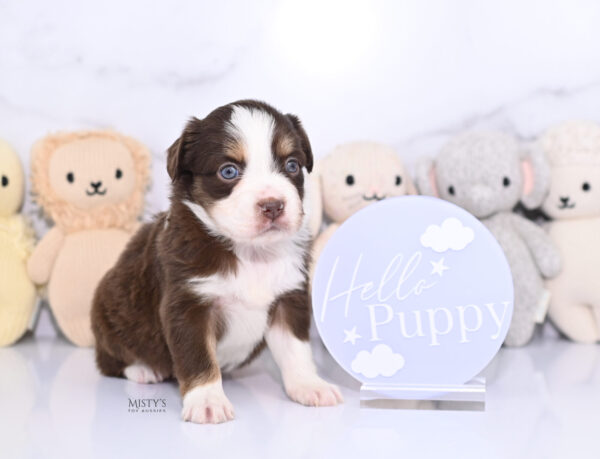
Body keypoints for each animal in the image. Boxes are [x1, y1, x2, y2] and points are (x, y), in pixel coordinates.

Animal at [89, 99, 342, 424]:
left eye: (292, 165)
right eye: (229, 171)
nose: (273, 205)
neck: (251, 253)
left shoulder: (288, 298)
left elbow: (296, 350)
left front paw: (310, 385)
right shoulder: (189, 305)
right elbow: (198, 357)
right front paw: (207, 400)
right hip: (106, 310)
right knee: (111, 359)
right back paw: (143, 368)